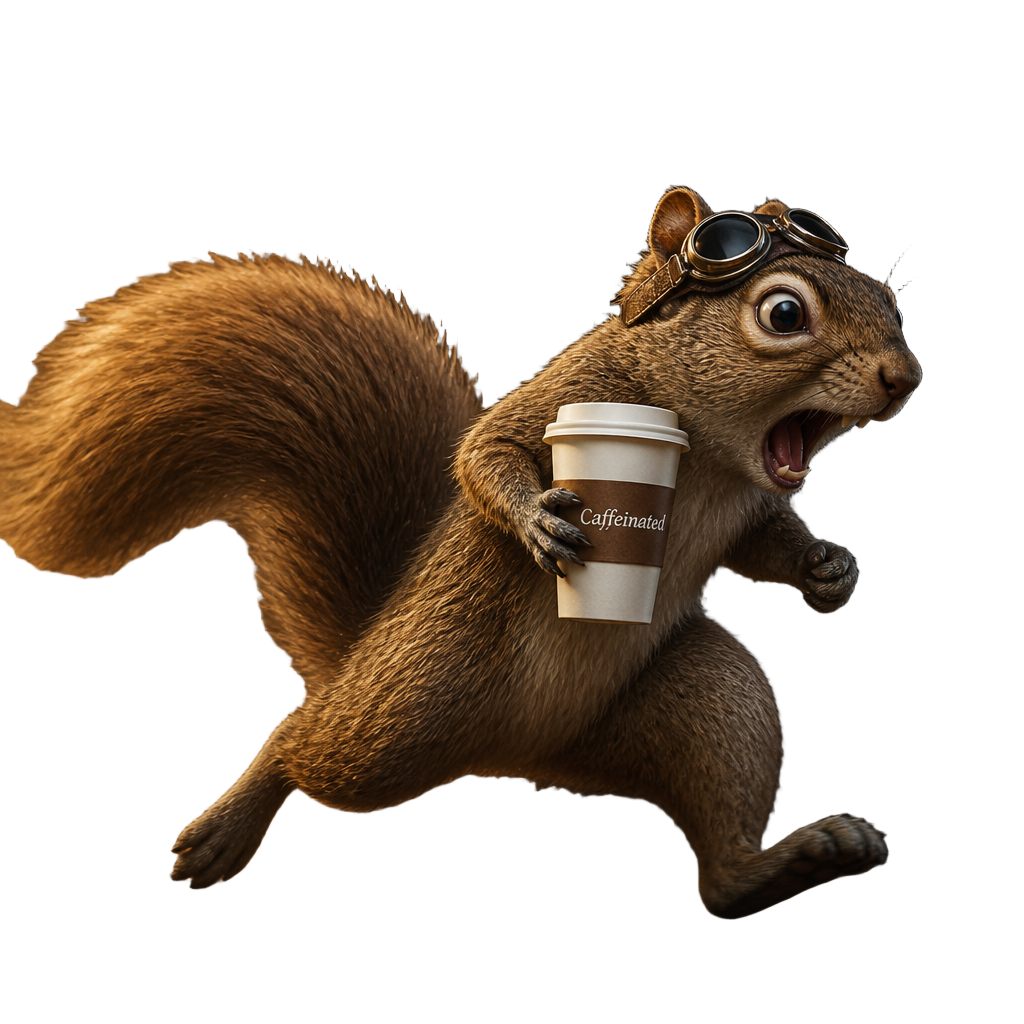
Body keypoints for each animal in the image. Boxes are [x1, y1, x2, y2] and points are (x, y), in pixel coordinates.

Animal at [0, 186, 920, 919]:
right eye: (783, 313)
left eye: (892, 301)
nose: (903, 378)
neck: (706, 449)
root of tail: (527, 751)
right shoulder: (571, 394)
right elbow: (487, 451)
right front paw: (538, 523)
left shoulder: (748, 504)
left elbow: (766, 541)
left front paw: (828, 569)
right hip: (410, 703)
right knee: (304, 740)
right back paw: (226, 828)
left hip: (700, 698)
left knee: (721, 865)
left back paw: (783, 866)